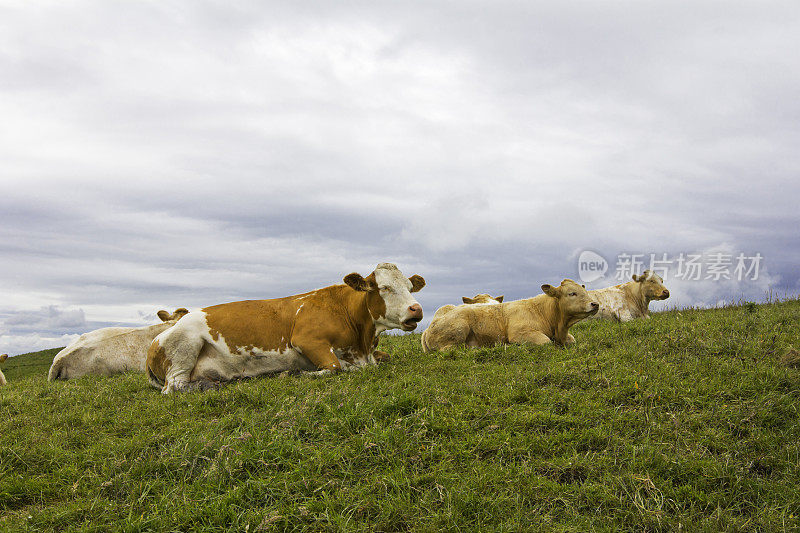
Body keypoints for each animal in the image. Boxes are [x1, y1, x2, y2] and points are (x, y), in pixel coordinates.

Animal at [148, 262, 428, 392]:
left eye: (410, 287)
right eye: (384, 288)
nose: (416, 309)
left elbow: (384, 357)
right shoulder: (306, 340)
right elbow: (335, 368)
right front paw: (292, 373)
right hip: (185, 343)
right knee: (174, 386)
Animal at [422, 278, 596, 354]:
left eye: (585, 291)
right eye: (571, 293)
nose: (595, 304)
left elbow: (572, 340)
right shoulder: (520, 332)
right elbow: (545, 342)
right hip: (459, 328)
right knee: (452, 350)